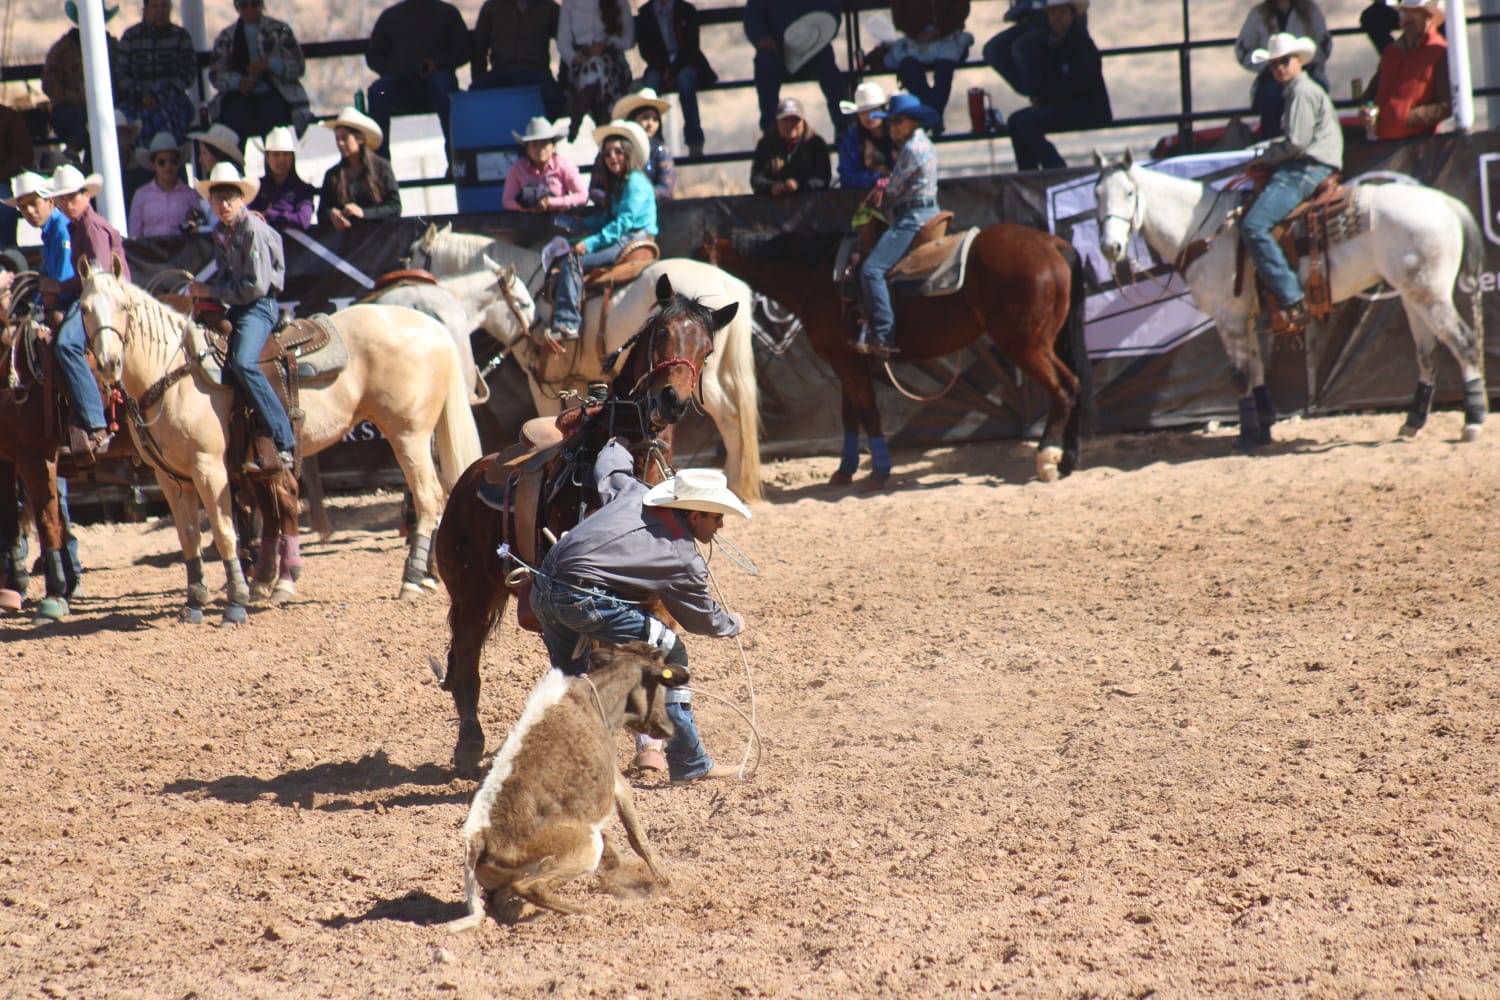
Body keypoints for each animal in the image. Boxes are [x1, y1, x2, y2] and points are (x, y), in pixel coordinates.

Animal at [78, 261, 484, 623]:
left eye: (125, 307)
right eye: (83, 309)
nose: (109, 363)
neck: (174, 374)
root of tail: (431, 326)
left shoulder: (210, 468)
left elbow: (225, 534)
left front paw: (236, 602)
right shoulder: (173, 479)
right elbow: (189, 537)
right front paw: (194, 602)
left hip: (408, 435)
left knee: (429, 496)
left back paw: (412, 578)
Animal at [406, 224, 764, 502]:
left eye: (412, 255)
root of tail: (731, 283)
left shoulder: (544, 385)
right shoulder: (575, 381)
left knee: (730, 417)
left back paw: (734, 481)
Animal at [431, 275, 736, 773]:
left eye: (706, 349)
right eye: (662, 333)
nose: (672, 400)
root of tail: (468, 479)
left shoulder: (656, 597)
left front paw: (651, 753)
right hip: (470, 595)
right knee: (467, 665)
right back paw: (469, 747)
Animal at [706, 224, 1094, 485]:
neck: (819, 275)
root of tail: (1053, 244)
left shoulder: (846, 361)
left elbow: (868, 412)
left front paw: (878, 471)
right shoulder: (846, 362)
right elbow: (851, 415)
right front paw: (844, 471)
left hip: (1026, 344)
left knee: (1062, 390)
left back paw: (1046, 459)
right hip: (1048, 341)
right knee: (1075, 386)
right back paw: (1068, 461)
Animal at [1092, 149, 1487, 450]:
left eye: (1129, 193)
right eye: (1096, 193)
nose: (1110, 248)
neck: (1203, 230)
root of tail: (1444, 201)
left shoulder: (1228, 316)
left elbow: (1240, 374)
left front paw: (1246, 436)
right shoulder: (1245, 317)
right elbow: (1256, 370)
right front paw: (1264, 429)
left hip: (1430, 294)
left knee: (1465, 343)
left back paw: (1473, 422)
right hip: (1412, 296)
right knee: (1428, 352)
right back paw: (1413, 423)